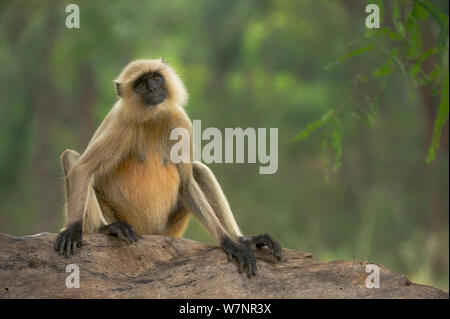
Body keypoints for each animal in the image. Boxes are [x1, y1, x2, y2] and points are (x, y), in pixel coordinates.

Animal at [55, 59, 282, 278]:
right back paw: (105, 228)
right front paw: (74, 229)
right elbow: (83, 168)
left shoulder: (180, 120)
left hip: (169, 229)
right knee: (72, 157)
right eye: (140, 85)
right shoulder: (122, 123)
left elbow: (187, 183)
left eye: (156, 78)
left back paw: (243, 240)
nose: (153, 90)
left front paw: (229, 242)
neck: (153, 117)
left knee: (198, 171)